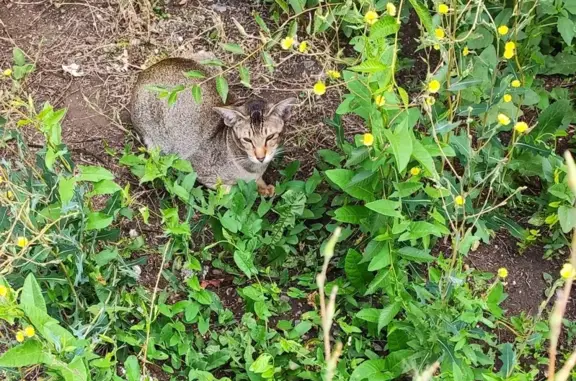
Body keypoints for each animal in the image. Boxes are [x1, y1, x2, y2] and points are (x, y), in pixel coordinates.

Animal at [130, 58, 296, 197]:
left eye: (270, 137)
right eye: (247, 140)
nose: (261, 157)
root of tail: (144, 72)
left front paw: (264, 187)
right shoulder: (199, 169)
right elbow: (231, 191)